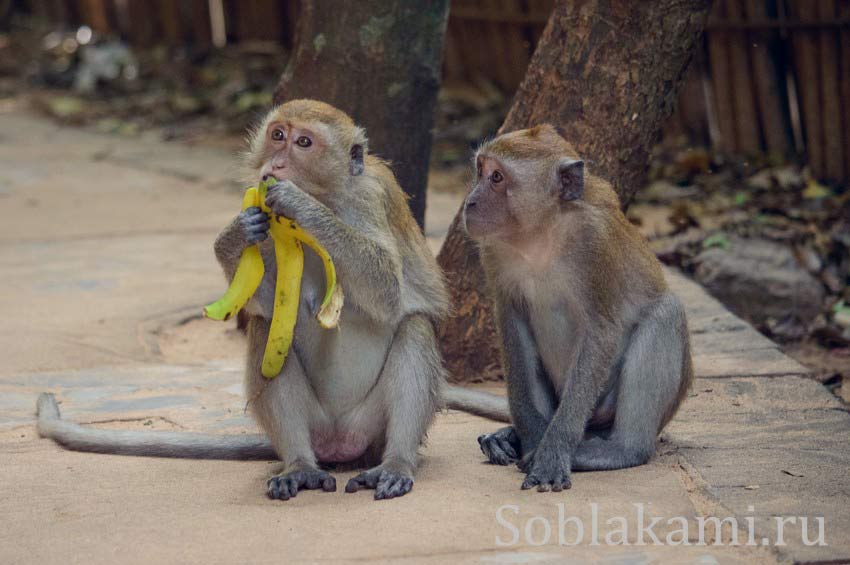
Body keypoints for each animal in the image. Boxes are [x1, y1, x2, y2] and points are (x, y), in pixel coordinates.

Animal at [464, 123, 688, 490]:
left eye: (497, 177)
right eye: (481, 171)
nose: (469, 202)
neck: (540, 236)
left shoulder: (594, 243)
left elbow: (601, 331)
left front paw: (553, 449)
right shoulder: (493, 251)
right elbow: (512, 323)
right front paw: (534, 438)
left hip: (612, 407)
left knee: (666, 313)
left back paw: (620, 449)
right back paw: (510, 437)